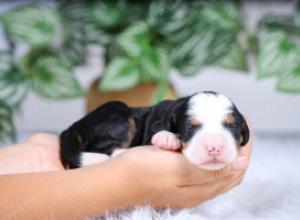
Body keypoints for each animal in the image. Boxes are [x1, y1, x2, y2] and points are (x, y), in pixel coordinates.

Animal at [59, 91, 250, 170]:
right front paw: (167, 138)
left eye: (231, 126)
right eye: (190, 127)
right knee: (106, 150)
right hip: (119, 113)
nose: (214, 148)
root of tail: (73, 127)